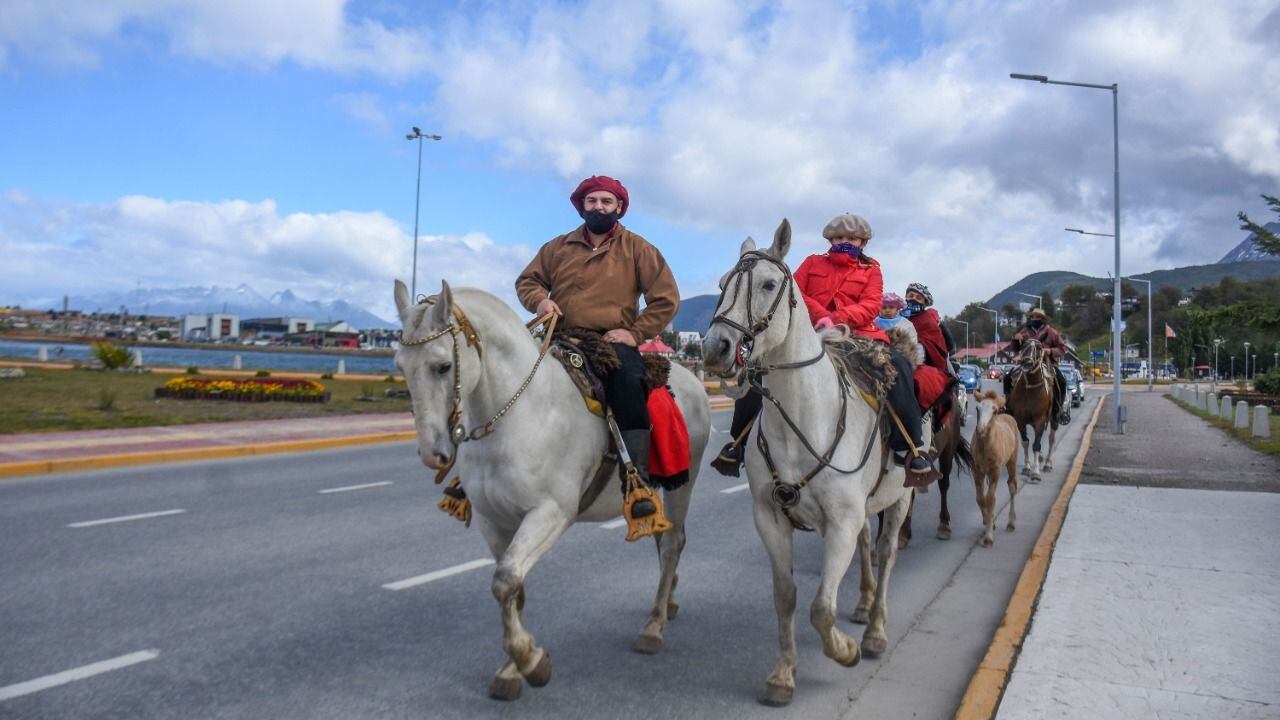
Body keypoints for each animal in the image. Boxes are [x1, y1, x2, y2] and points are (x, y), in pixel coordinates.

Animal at [701, 221, 921, 702]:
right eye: (722, 284)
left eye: (769, 284)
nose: (714, 348)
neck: (802, 418)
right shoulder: (770, 517)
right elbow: (786, 595)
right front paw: (783, 674)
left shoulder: (840, 521)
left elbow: (821, 607)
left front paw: (845, 650)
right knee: (867, 547)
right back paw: (863, 605)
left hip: (901, 499)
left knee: (886, 554)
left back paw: (874, 632)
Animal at [1003, 338, 1054, 481]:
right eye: (1024, 346)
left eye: (1039, 348)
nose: (1027, 363)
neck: (1031, 388)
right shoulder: (1021, 420)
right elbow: (1025, 442)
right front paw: (1027, 467)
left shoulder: (1040, 419)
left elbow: (1036, 444)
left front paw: (1036, 473)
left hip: (1053, 420)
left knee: (1051, 439)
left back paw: (1047, 463)